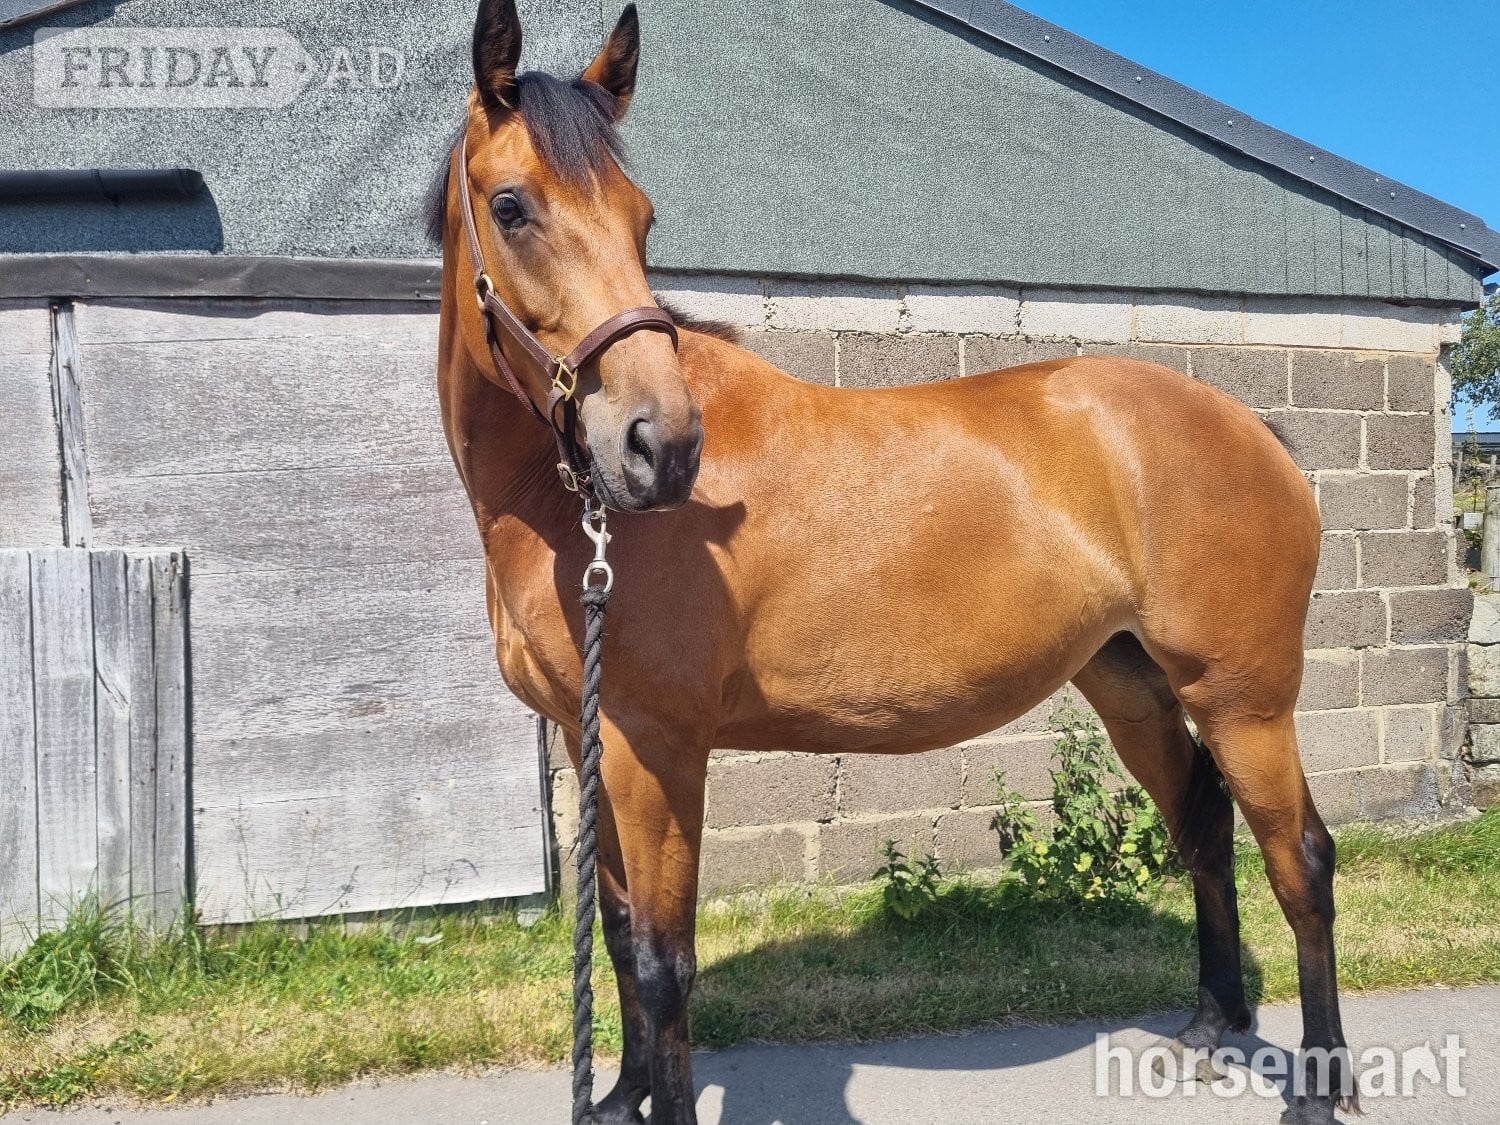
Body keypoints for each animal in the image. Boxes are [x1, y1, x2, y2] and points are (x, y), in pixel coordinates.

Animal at [432, 3, 1353, 1122]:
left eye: (643, 219)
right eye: (511, 207)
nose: (661, 445)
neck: (566, 509)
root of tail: (1255, 428)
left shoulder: (660, 748)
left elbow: (663, 962)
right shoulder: (589, 738)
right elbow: (614, 933)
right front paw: (621, 1097)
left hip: (1245, 698)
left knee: (1301, 858)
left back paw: (1320, 1083)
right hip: (1131, 681)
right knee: (1203, 824)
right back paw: (1214, 1020)